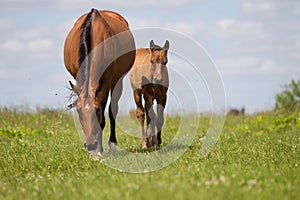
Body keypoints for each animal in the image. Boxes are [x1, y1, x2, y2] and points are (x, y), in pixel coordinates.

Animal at [63, 8, 135, 158]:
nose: (90, 144)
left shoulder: (106, 82)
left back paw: (112, 145)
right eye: (78, 111)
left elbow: (103, 118)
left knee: (113, 110)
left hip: (117, 81)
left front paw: (98, 150)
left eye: (96, 110)